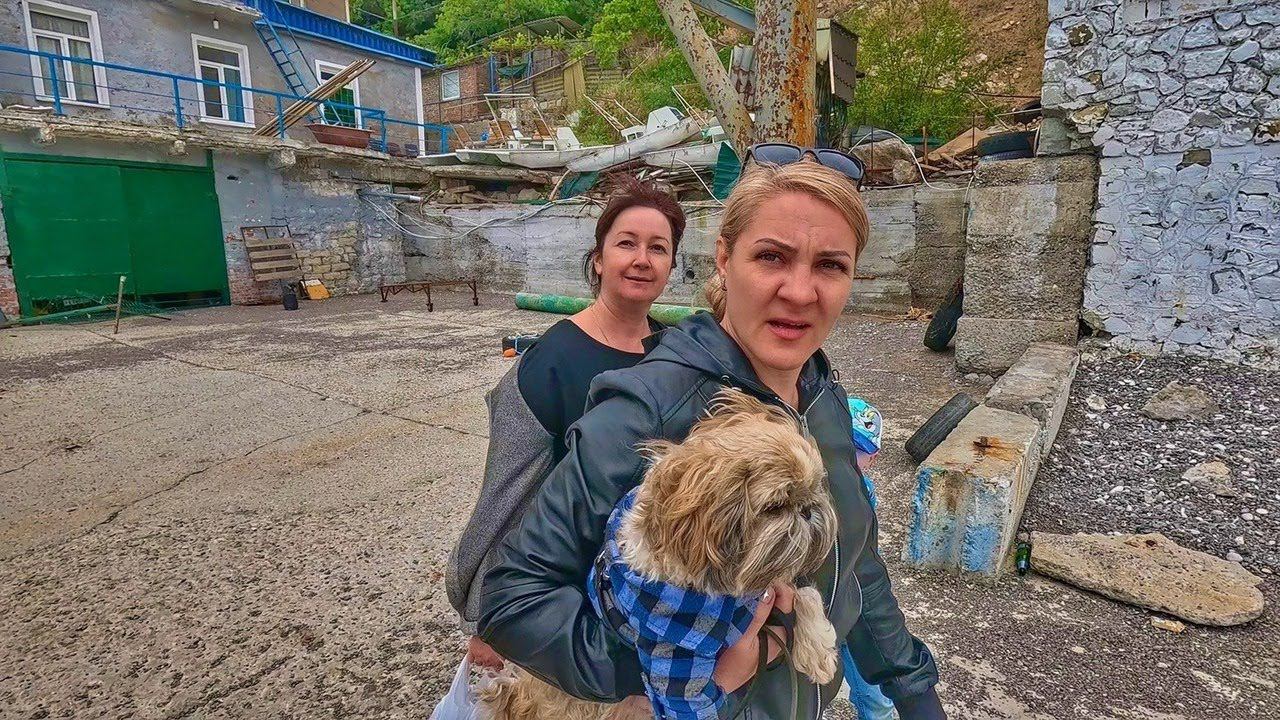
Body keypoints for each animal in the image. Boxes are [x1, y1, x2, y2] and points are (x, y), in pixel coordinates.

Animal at [478, 389, 839, 720]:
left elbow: (805, 593)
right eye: (776, 506)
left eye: (813, 487)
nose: (809, 508)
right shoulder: (676, 663)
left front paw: (817, 647)